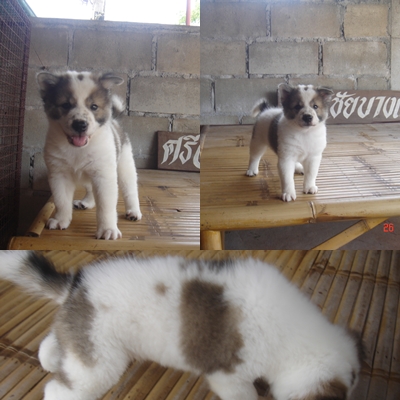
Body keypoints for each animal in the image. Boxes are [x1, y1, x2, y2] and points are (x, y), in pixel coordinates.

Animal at [0, 251, 361, 400]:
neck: (291, 332)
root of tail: (78, 282)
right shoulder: (228, 376)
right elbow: (244, 394)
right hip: (100, 363)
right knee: (61, 390)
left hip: (82, 335)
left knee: (54, 341)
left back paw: (49, 358)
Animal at [37, 70, 142, 240]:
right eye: (66, 105)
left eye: (94, 107)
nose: (80, 124)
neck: (78, 149)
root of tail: (115, 121)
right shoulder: (59, 174)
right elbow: (61, 200)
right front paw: (60, 220)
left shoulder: (104, 175)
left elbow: (105, 206)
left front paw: (107, 229)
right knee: (91, 189)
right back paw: (87, 202)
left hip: (124, 166)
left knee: (130, 190)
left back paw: (134, 211)